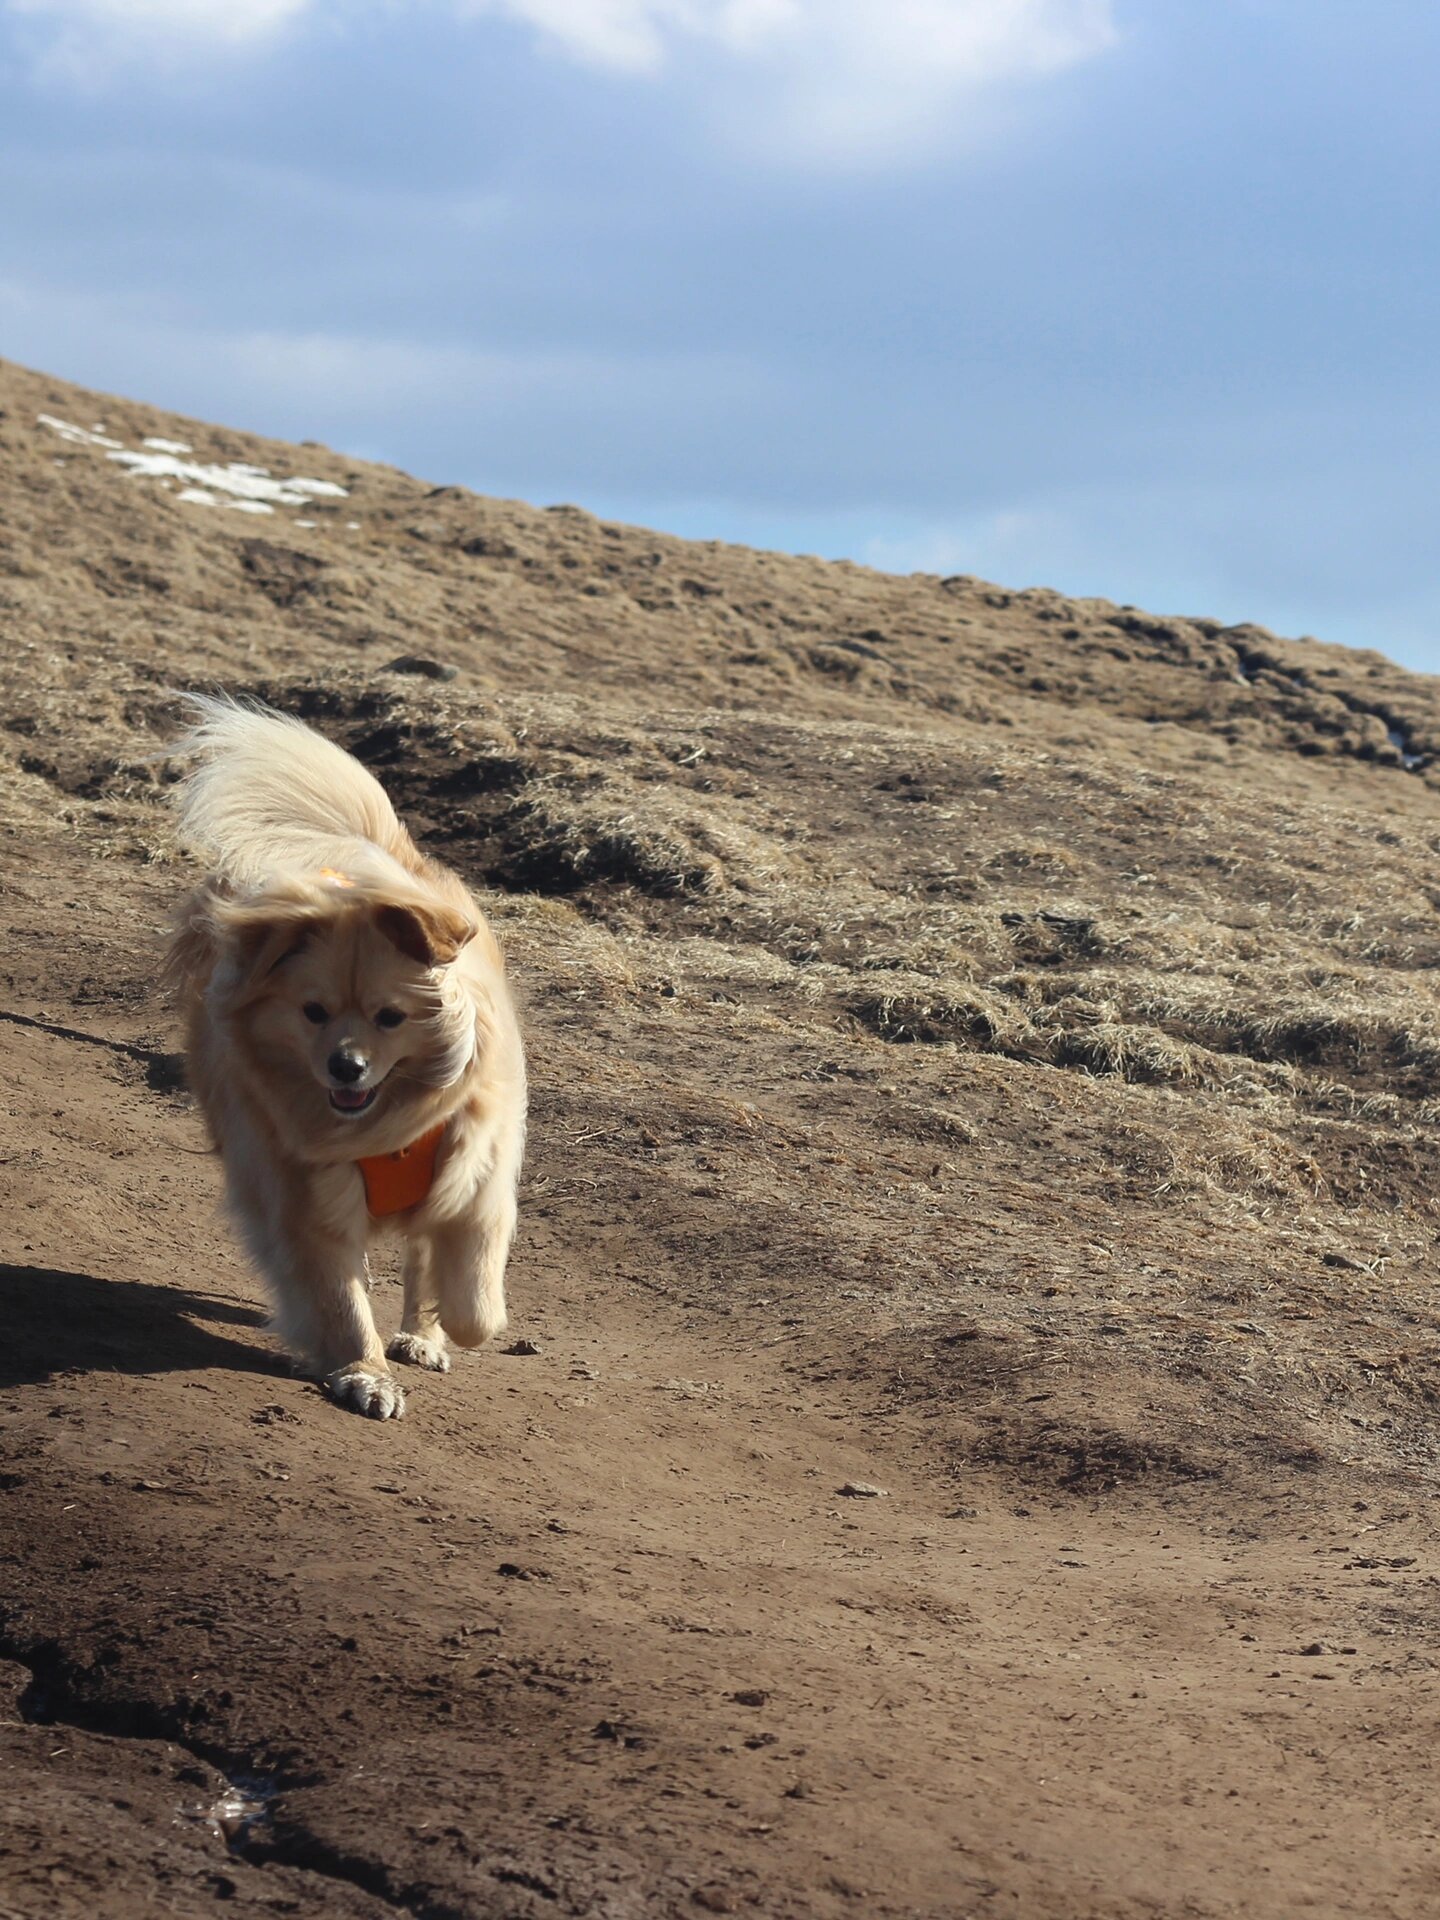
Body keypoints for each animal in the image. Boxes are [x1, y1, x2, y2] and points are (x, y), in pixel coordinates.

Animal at [168, 698, 526, 1420]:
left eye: (391, 1017)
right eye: (313, 1012)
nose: (346, 1068)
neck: (385, 1125)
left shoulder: (476, 1177)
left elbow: (475, 1305)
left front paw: (438, 1328)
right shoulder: (305, 1194)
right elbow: (339, 1299)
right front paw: (363, 1374)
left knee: (424, 1258)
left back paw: (420, 1335)